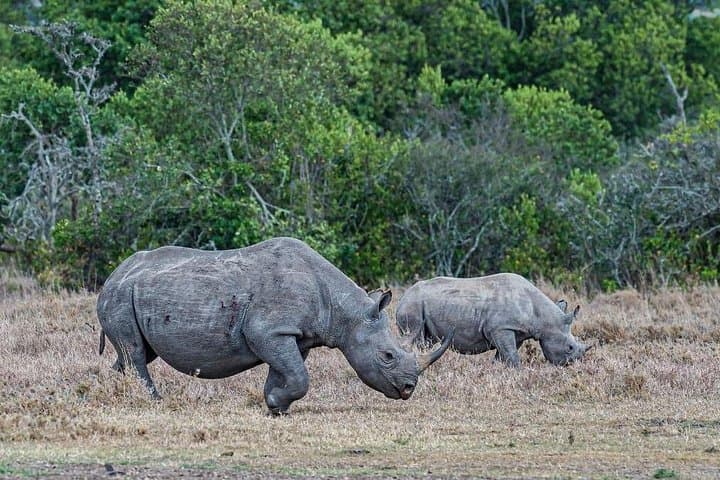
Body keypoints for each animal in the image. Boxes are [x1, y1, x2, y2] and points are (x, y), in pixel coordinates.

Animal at [97, 237, 452, 414]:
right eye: (387, 356)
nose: (408, 389)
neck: (345, 312)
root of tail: (113, 275)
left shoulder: (292, 334)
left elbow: (286, 372)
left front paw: (275, 404)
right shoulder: (269, 330)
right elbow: (299, 376)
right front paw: (277, 403)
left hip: (130, 293)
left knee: (133, 353)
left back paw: (113, 393)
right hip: (119, 295)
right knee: (135, 353)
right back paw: (154, 402)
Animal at [396, 273, 590, 366]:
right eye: (569, 347)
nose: (571, 365)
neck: (542, 317)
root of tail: (402, 297)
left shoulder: (515, 331)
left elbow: (504, 355)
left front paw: (498, 370)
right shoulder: (501, 328)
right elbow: (511, 355)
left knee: (426, 342)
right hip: (412, 305)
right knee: (417, 338)